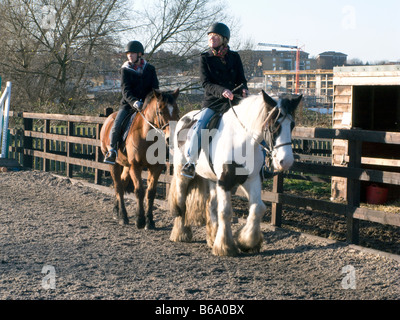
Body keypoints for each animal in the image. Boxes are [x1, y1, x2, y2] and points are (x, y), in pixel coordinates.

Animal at [100, 89, 180, 228]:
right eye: (160, 111)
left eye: (176, 111)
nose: (171, 138)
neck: (147, 135)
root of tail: (108, 119)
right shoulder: (136, 166)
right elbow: (139, 191)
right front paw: (140, 220)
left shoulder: (156, 167)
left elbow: (151, 192)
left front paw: (150, 221)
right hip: (114, 164)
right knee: (118, 186)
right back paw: (123, 216)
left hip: (127, 166)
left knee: (122, 183)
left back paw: (116, 211)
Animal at [167, 91, 302, 256]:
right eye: (274, 125)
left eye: (292, 125)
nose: (286, 161)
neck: (242, 141)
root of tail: (184, 119)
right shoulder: (225, 182)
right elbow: (225, 212)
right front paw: (225, 247)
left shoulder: (252, 180)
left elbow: (258, 208)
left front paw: (247, 242)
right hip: (182, 173)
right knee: (181, 202)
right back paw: (181, 233)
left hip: (212, 180)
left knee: (210, 205)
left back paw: (212, 238)